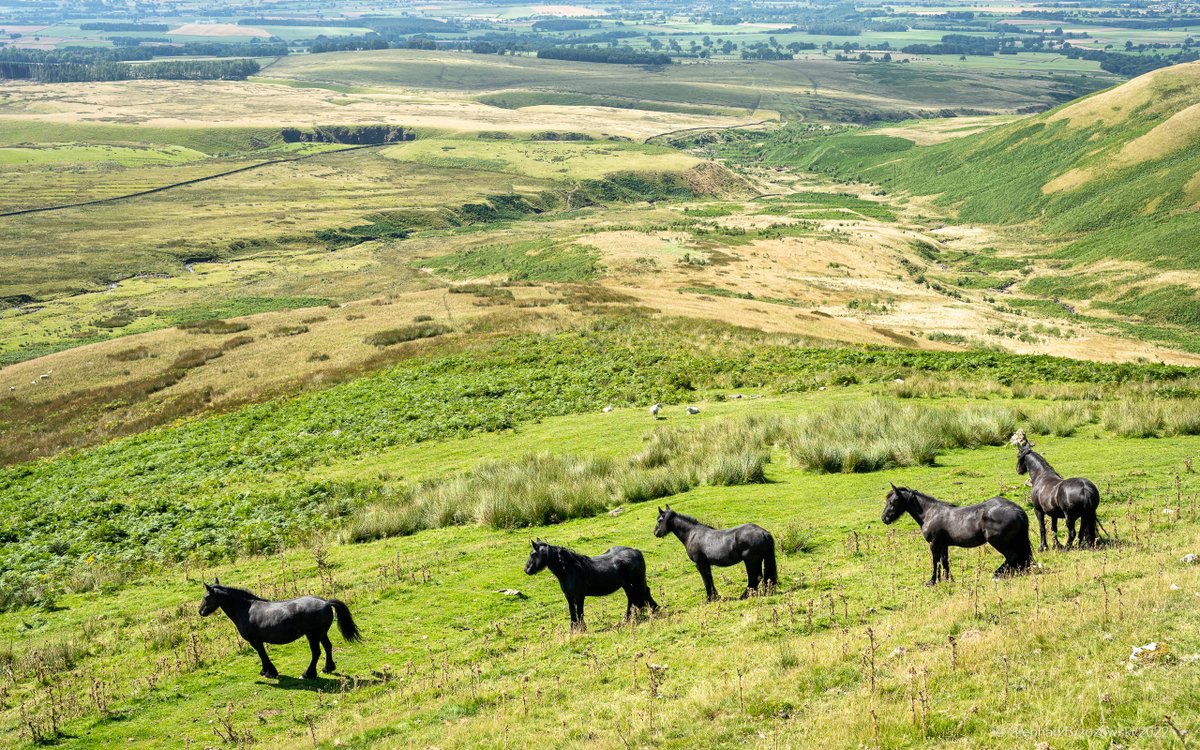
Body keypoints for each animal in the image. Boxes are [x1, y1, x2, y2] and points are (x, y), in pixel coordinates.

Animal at [198, 579, 361, 680]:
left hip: (313, 636)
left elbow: (262, 655)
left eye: (206, 597)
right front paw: (266, 671)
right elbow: (262, 655)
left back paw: (308, 674)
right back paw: (328, 668)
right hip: (321, 634)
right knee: (328, 647)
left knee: (316, 652)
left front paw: (269, 672)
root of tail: (326, 603)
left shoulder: (255, 641)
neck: (246, 609)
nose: (200, 611)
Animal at [524, 539, 658, 630]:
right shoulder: (569, 597)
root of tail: (636, 551)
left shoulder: (579, 596)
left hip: (637, 581)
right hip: (626, 584)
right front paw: (573, 630)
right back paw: (627, 618)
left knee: (645, 591)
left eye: (532, 554)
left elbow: (580, 612)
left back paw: (654, 610)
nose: (526, 570)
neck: (570, 570)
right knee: (632, 597)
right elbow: (572, 612)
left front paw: (582, 629)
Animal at [881, 485, 1033, 585]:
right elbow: (944, 561)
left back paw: (998, 574)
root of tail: (1017, 510)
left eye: (893, 501)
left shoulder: (934, 544)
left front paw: (932, 581)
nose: (884, 518)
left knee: (1012, 556)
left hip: (998, 542)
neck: (930, 513)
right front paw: (949, 579)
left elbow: (935, 561)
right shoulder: (944, 544)